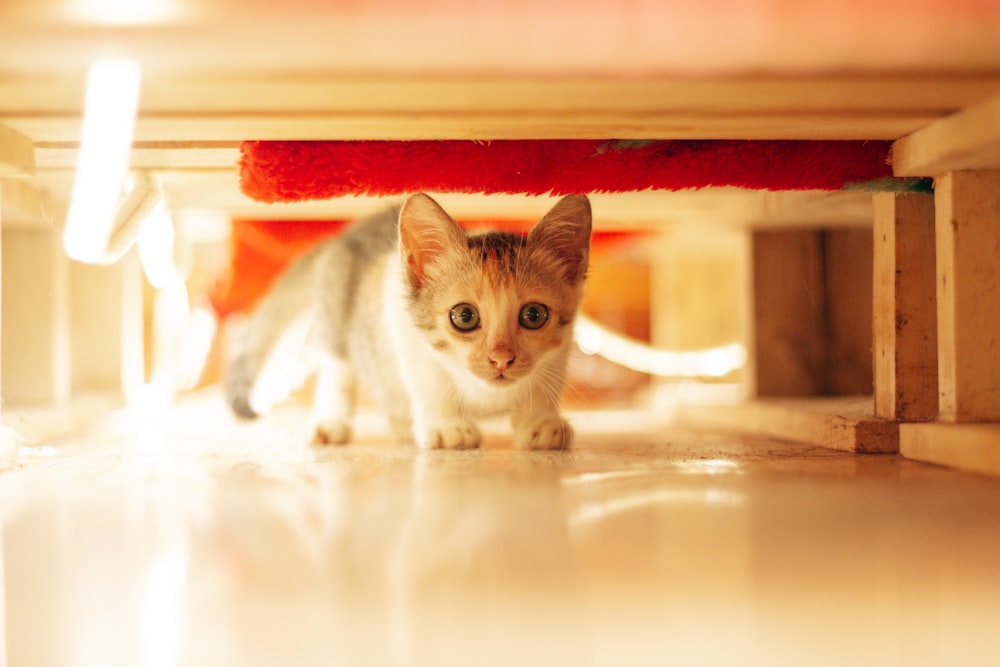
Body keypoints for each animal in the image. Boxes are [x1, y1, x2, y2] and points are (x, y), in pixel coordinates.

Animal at [225, 194, 592, 454]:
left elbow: (546, 382)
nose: (501, 358)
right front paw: (448, 426)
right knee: (337, 371)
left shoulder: (559, 350)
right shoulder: (405, 330)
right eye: (465, 316)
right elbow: (430, 382)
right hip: (337, 314)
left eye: (534, 315)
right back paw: (331, 422)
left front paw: (541, 421)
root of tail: (346, 234)